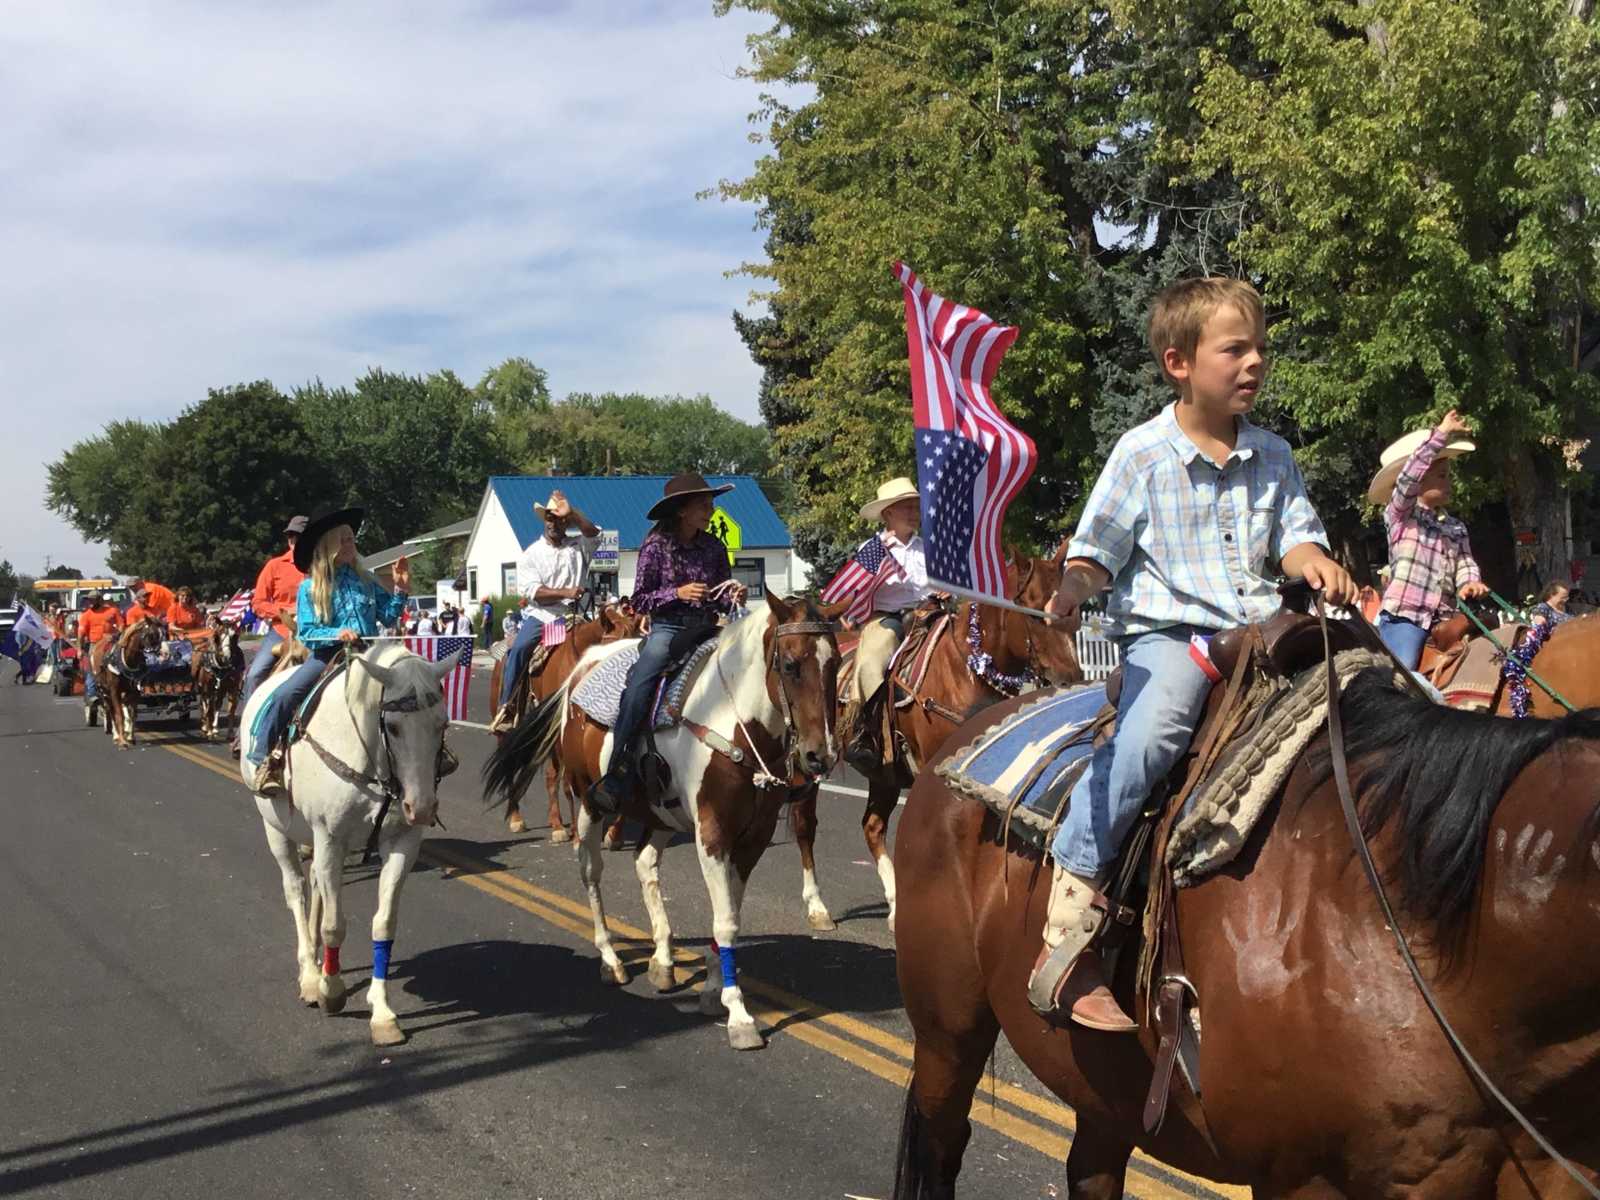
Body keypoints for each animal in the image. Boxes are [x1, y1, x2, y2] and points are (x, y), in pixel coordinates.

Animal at [90, 618, 164, 749]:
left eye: (161, 635)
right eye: (151, 634)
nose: (159, 655)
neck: (127, 660)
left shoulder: (135, 691)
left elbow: (132, 714)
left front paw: (130, 737)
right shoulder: (114, 690)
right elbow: (119, 715)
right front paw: (122, 741)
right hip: (104, 691)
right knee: (111, 711)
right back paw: (116, 736)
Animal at [239, 642, 454, 1046]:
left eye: (442, 723)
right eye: (393, 726)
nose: (421, 807)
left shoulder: (402, 842)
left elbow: (383, 923)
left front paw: (382, 1014)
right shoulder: (330, 838)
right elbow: (334, 925)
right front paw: (332, 991)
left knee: (316, 890)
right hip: (276, 830)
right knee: (296, 890)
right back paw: (311, 976)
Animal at [488, 604, 642, 841]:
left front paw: (613, 834)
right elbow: (571, 784)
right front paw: (578, 834)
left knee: (551, 776)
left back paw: (557, 824)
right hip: (511, 731)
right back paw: (520, 819)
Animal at [787, 548, 1081, 933]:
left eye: (1076, 609)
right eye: (1033, 610)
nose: (1071, 678)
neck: (966, 669)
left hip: (884, 774)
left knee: (872, 827)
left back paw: (896, 906)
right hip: (808, 762)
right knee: (805, 825)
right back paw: (817, 906)